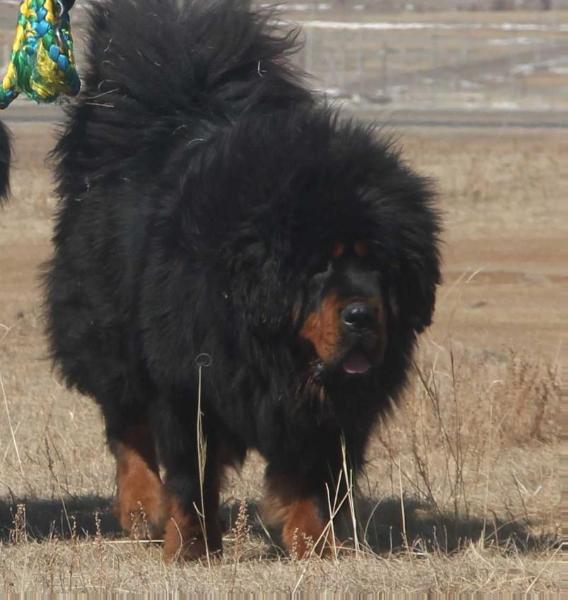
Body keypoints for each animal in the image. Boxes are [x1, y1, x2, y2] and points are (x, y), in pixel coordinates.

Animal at [46, 1, 442, 564]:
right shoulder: (187, 384)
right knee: (126, 425)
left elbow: (314, 481)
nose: (362, 314)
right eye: (319, 267)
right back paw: (142, 507)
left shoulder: (331, 416)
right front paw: (190, 547)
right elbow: (191, 478)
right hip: (107, 335)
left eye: (383, 268)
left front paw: (314, 546)